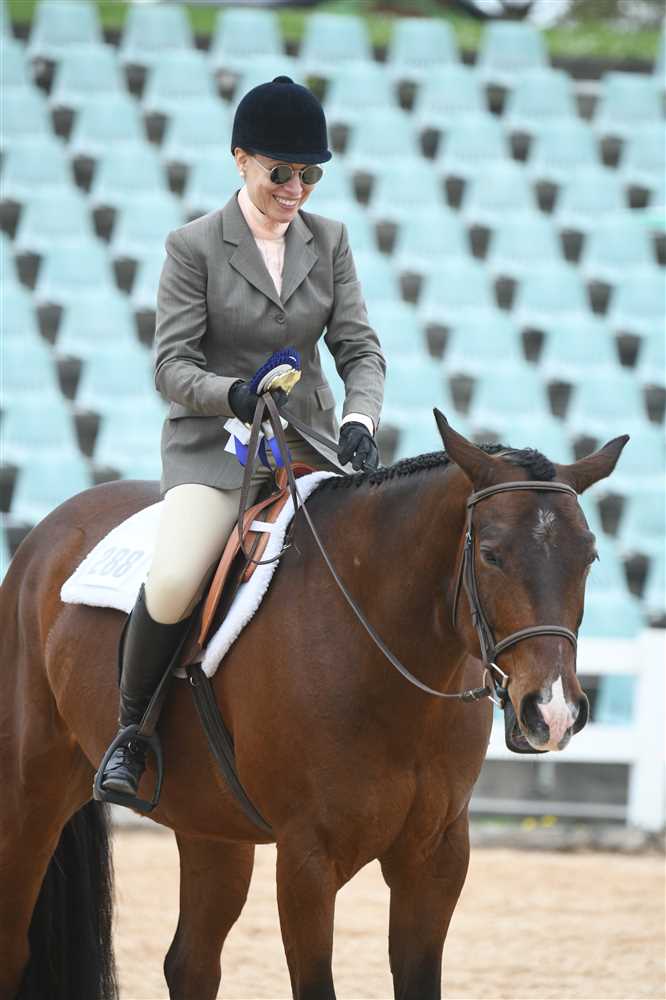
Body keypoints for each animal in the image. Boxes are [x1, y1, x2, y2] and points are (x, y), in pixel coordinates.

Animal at [0, 412, 628, 1000]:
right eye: (493, 555)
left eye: (590, 558)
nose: (553, 712)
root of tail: (47, 532)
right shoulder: (307, 860)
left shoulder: (437, 857)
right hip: (31, 797)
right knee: (15, 944)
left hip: (210, 825)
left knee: (190, 964)